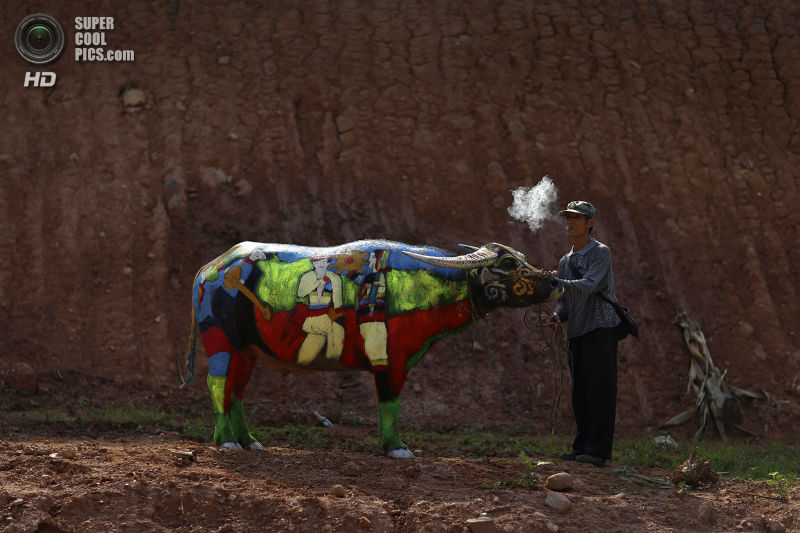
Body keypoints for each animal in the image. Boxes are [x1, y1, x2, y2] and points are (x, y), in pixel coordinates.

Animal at [180, 240, 564, 458]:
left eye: (521, 259)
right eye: (508, 265)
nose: (556, 281)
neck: (421, 285)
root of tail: (208, 270)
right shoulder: (391, 361)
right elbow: (390, 402)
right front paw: (395, 448)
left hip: (247, 351)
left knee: (236, 390)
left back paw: (248, 440)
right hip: (222, 341)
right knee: (217, 384)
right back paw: (225, 441)